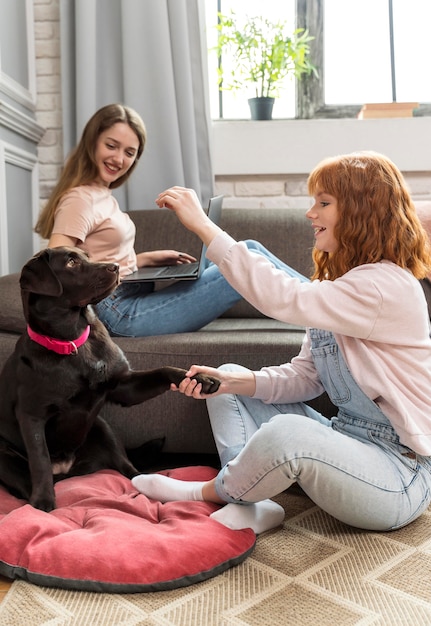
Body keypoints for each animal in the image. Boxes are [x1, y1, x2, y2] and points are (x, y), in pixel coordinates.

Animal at [0, 246, 219, 510]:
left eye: (86, 255)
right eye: (71, 263)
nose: (115, 266)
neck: (73, 343)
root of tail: (67, 470)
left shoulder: (124, 386)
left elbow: (164, 370)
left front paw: (202, 379)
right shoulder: (31, 416)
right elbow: (40, 460)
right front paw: (43, 503)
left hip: (103, 429)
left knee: (127, 467)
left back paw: (149, 484)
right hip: (3, 458)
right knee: (26, 481)